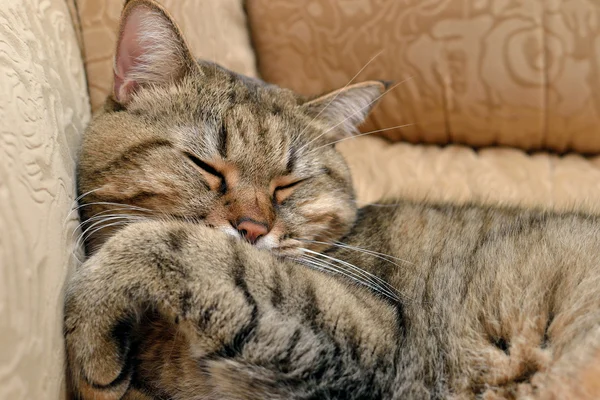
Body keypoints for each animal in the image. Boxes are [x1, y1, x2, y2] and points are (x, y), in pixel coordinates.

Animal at [64, 1, 600, 398]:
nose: (253, 228)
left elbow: (173, 247)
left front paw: (93, 345)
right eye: (207, 167)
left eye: (288, 183)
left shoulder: (372, 329)